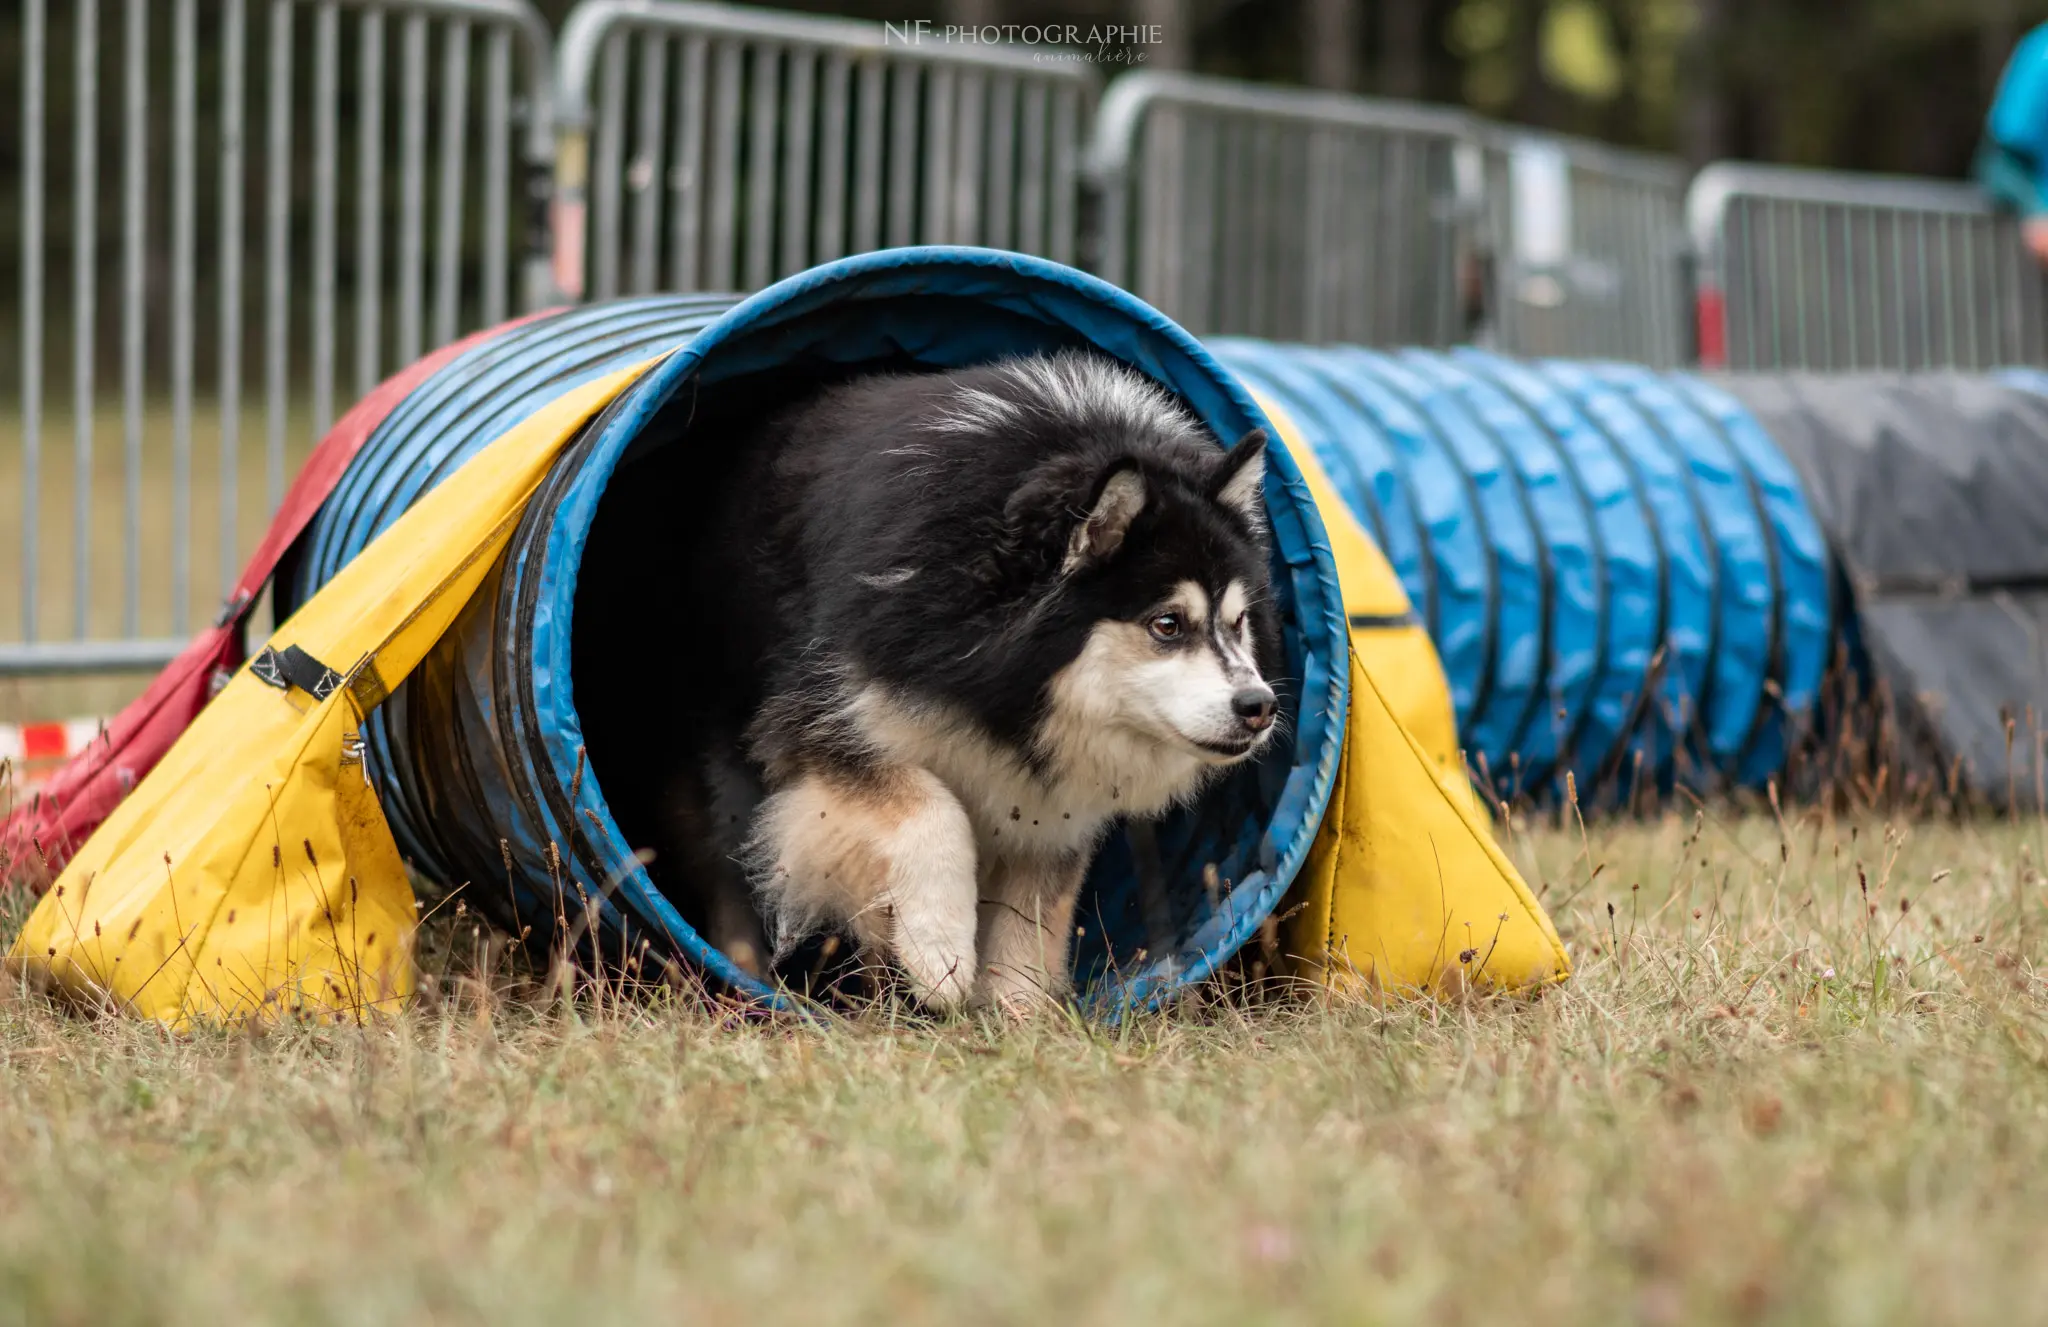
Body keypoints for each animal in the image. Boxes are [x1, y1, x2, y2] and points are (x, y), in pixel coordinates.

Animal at [655, 348, 1277, 1011]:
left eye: (1238, 622)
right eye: (1167, 624)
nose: (1259, 706)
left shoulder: (1052, 804)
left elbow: (1030, 920)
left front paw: (1017, 1017)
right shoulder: (819, 719)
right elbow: (933, 809)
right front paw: (939, 952)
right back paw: (745, 983)